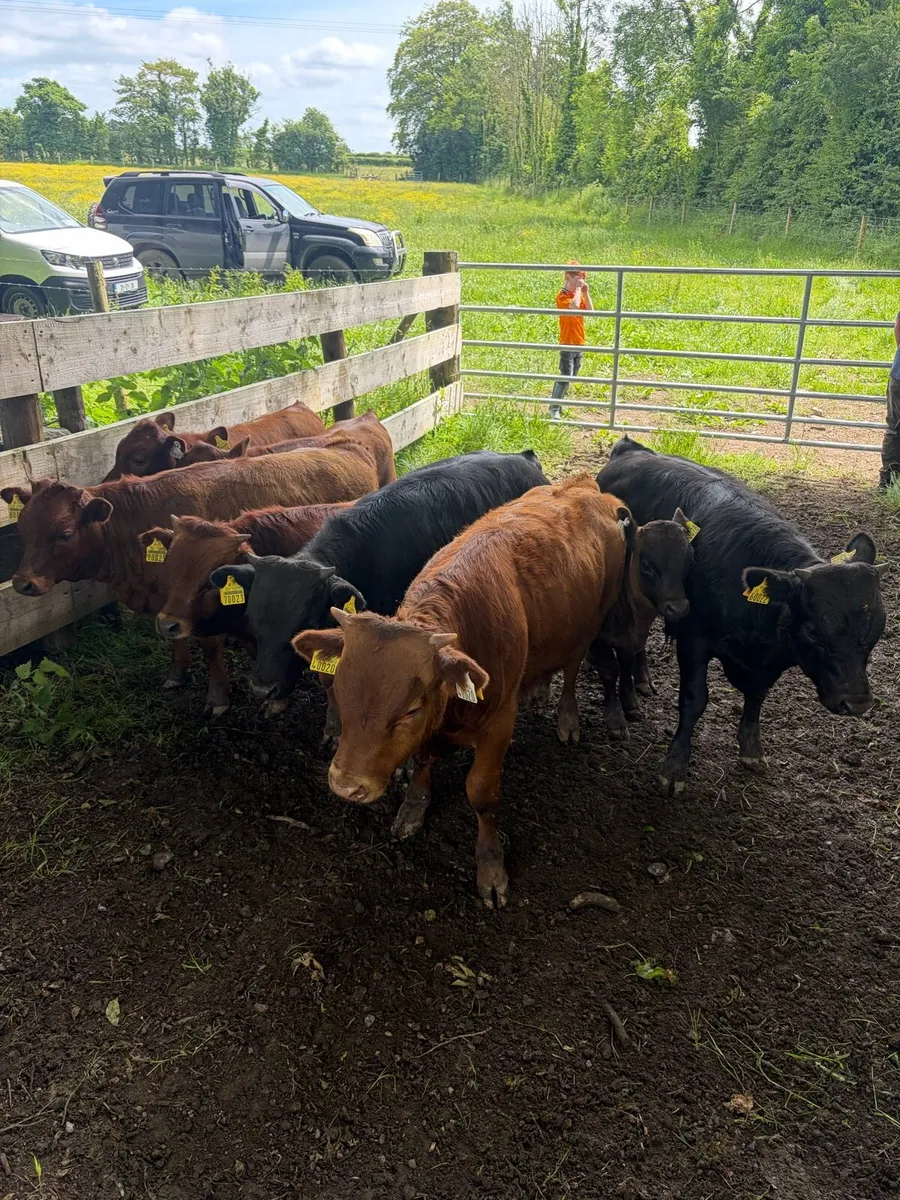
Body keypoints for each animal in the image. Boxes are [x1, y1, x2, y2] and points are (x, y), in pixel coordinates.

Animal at [2, 446, 378, 713]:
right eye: (22, 528)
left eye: (64, 533)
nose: (22, 583)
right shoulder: (167, 602)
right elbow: (175, 639)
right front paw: (176, 674)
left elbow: (210, 646)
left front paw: (218, 696)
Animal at [291, 475, 629, 908]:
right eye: (342, 690)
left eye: (411, 709)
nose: (347, 784)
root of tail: (581, 484)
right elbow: (422, 762)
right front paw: (413, 808)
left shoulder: (499, 723)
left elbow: (482, 794)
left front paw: (491, 866)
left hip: (593, 620)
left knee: (571, 670)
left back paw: (567, 717)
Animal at [587, 509, 694, 738]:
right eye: (647, 566)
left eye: (690, 560)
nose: (678, 608)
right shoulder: (597, 637)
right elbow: (610, 669)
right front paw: (615, 718)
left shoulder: (632, 638)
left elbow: (626, 665)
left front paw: (630, 704)